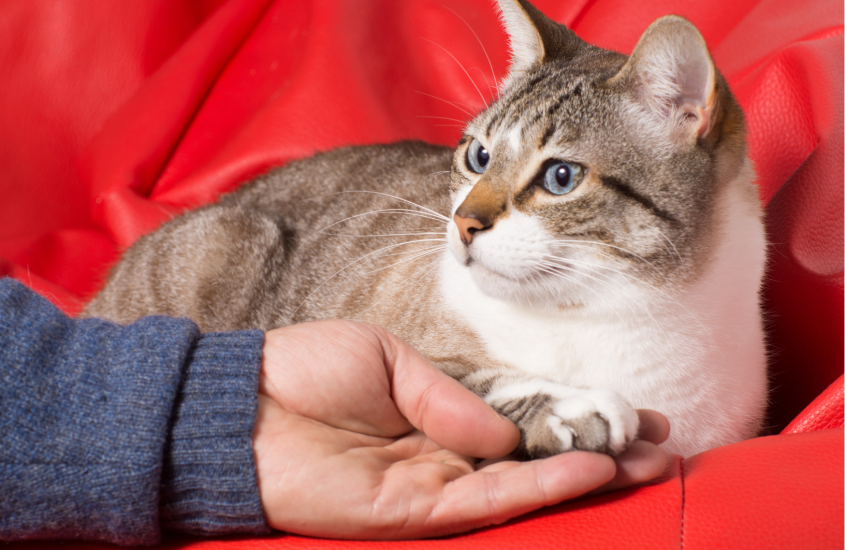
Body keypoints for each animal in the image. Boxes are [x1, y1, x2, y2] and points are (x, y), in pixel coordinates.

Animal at [82, 0, 768, 460]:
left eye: (561, 177)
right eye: (479, 157)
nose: (464, 223)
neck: (613, 316)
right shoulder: (411, 349)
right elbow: (474, 379)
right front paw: (574, 406)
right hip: (225, 242)